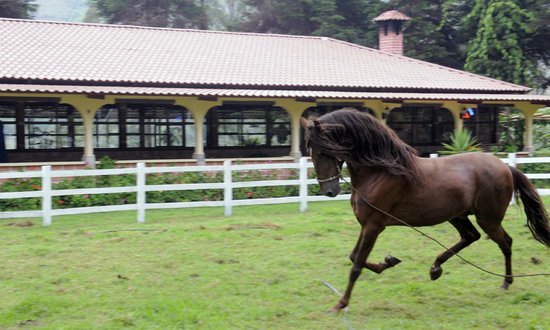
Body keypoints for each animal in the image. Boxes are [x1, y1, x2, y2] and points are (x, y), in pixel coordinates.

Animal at [302, 107, 550, 312]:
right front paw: (388, 262)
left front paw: (340, 304)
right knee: (471, 236)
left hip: (488, 219)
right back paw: (435, 269)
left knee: (505, 242)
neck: (379, 171)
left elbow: (356, 266)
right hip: (457, 216)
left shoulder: (373, 226)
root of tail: (505, 167)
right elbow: (355, 257)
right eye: (310, 151)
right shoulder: (366, 226)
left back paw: (506, 282)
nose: (329, 190)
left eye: (323, 151)